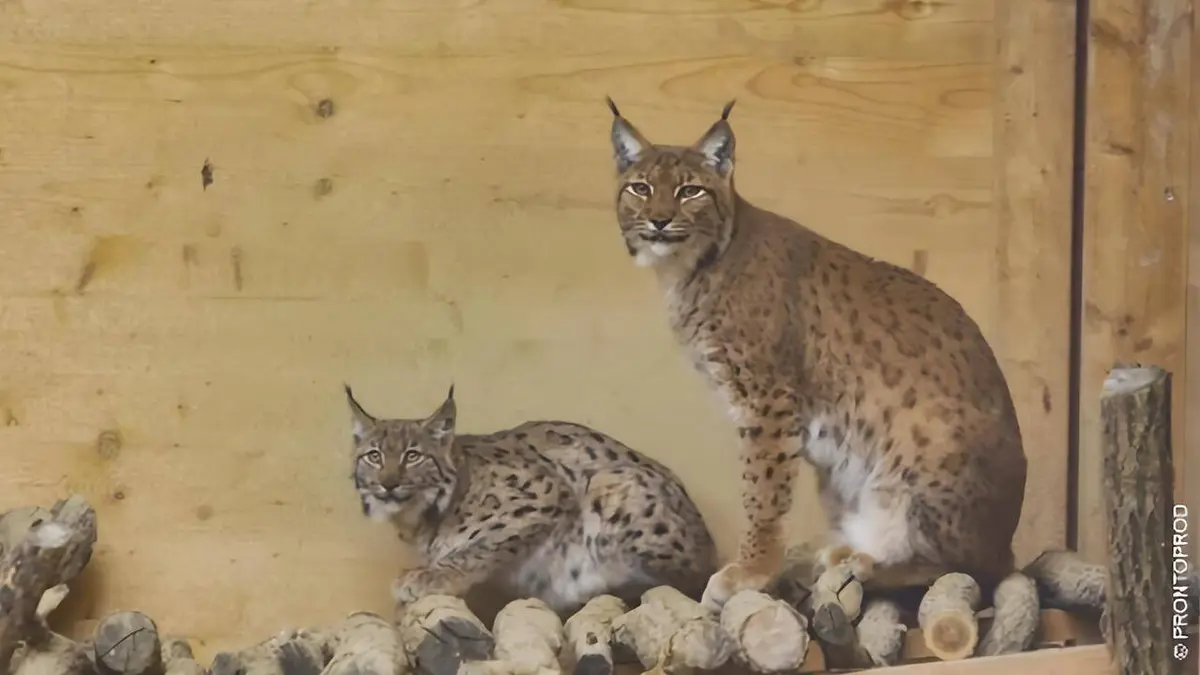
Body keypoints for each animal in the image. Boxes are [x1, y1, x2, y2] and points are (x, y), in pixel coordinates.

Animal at [342, 383, 718, 617]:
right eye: (374, 456)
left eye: (413, 456)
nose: (388, 484)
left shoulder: (544, 494)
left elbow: (482, 546)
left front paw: (432, 576)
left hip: (607, 481)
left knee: (686, 584)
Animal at [602, 98, 1028, 612]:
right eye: (640, 188)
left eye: (690, 191)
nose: (660, 220)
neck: (687, 270)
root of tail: (1007, 542)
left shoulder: (767, 398)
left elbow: (762, 490)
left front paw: (751, 570)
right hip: (842, 472)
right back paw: (851, 550)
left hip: (928, 443)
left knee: (972, 571)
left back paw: (870, 566)